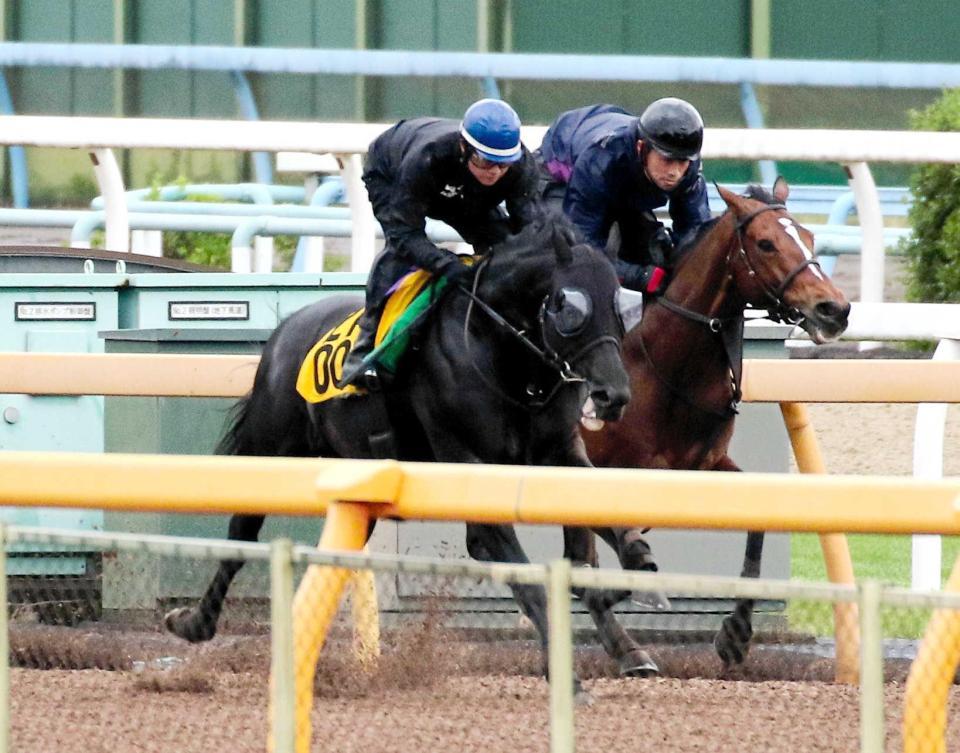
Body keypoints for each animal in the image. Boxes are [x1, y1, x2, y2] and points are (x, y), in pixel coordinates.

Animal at [165, 214, 640, 692]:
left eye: (622, 304)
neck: (507, 360)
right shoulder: (471, 470)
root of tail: (284, 330)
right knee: (240, 533)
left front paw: (624, 603)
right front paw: (565, 672)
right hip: (269, 449)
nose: (612, 394)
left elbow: (606, 536)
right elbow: (528, 578)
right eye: (569, 306)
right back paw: (194, 623)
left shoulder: (558, 454)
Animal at [568, 179, 848, 672]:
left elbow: (757, 522)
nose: (834, 308)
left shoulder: (703, 465)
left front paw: (735, 635)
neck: (663, 368)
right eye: (765, 242)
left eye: (810, 237)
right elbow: (620, 556)